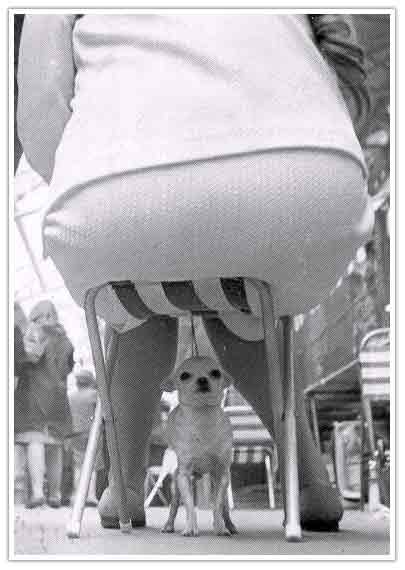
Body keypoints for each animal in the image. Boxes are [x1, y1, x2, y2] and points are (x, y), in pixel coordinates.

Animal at [161, 355, 237, 536]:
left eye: (215, 373)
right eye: (184, 375)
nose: (202, 379)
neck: (202, 419)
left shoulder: (222, 474)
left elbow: (217, 505)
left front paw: (220, 527)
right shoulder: (184, 476)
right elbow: (189, 506)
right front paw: (190, 528)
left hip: (218, 481)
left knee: (224, 507)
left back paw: (229, 525)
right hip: (176, 483)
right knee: (175, 505)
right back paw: (169, 525)